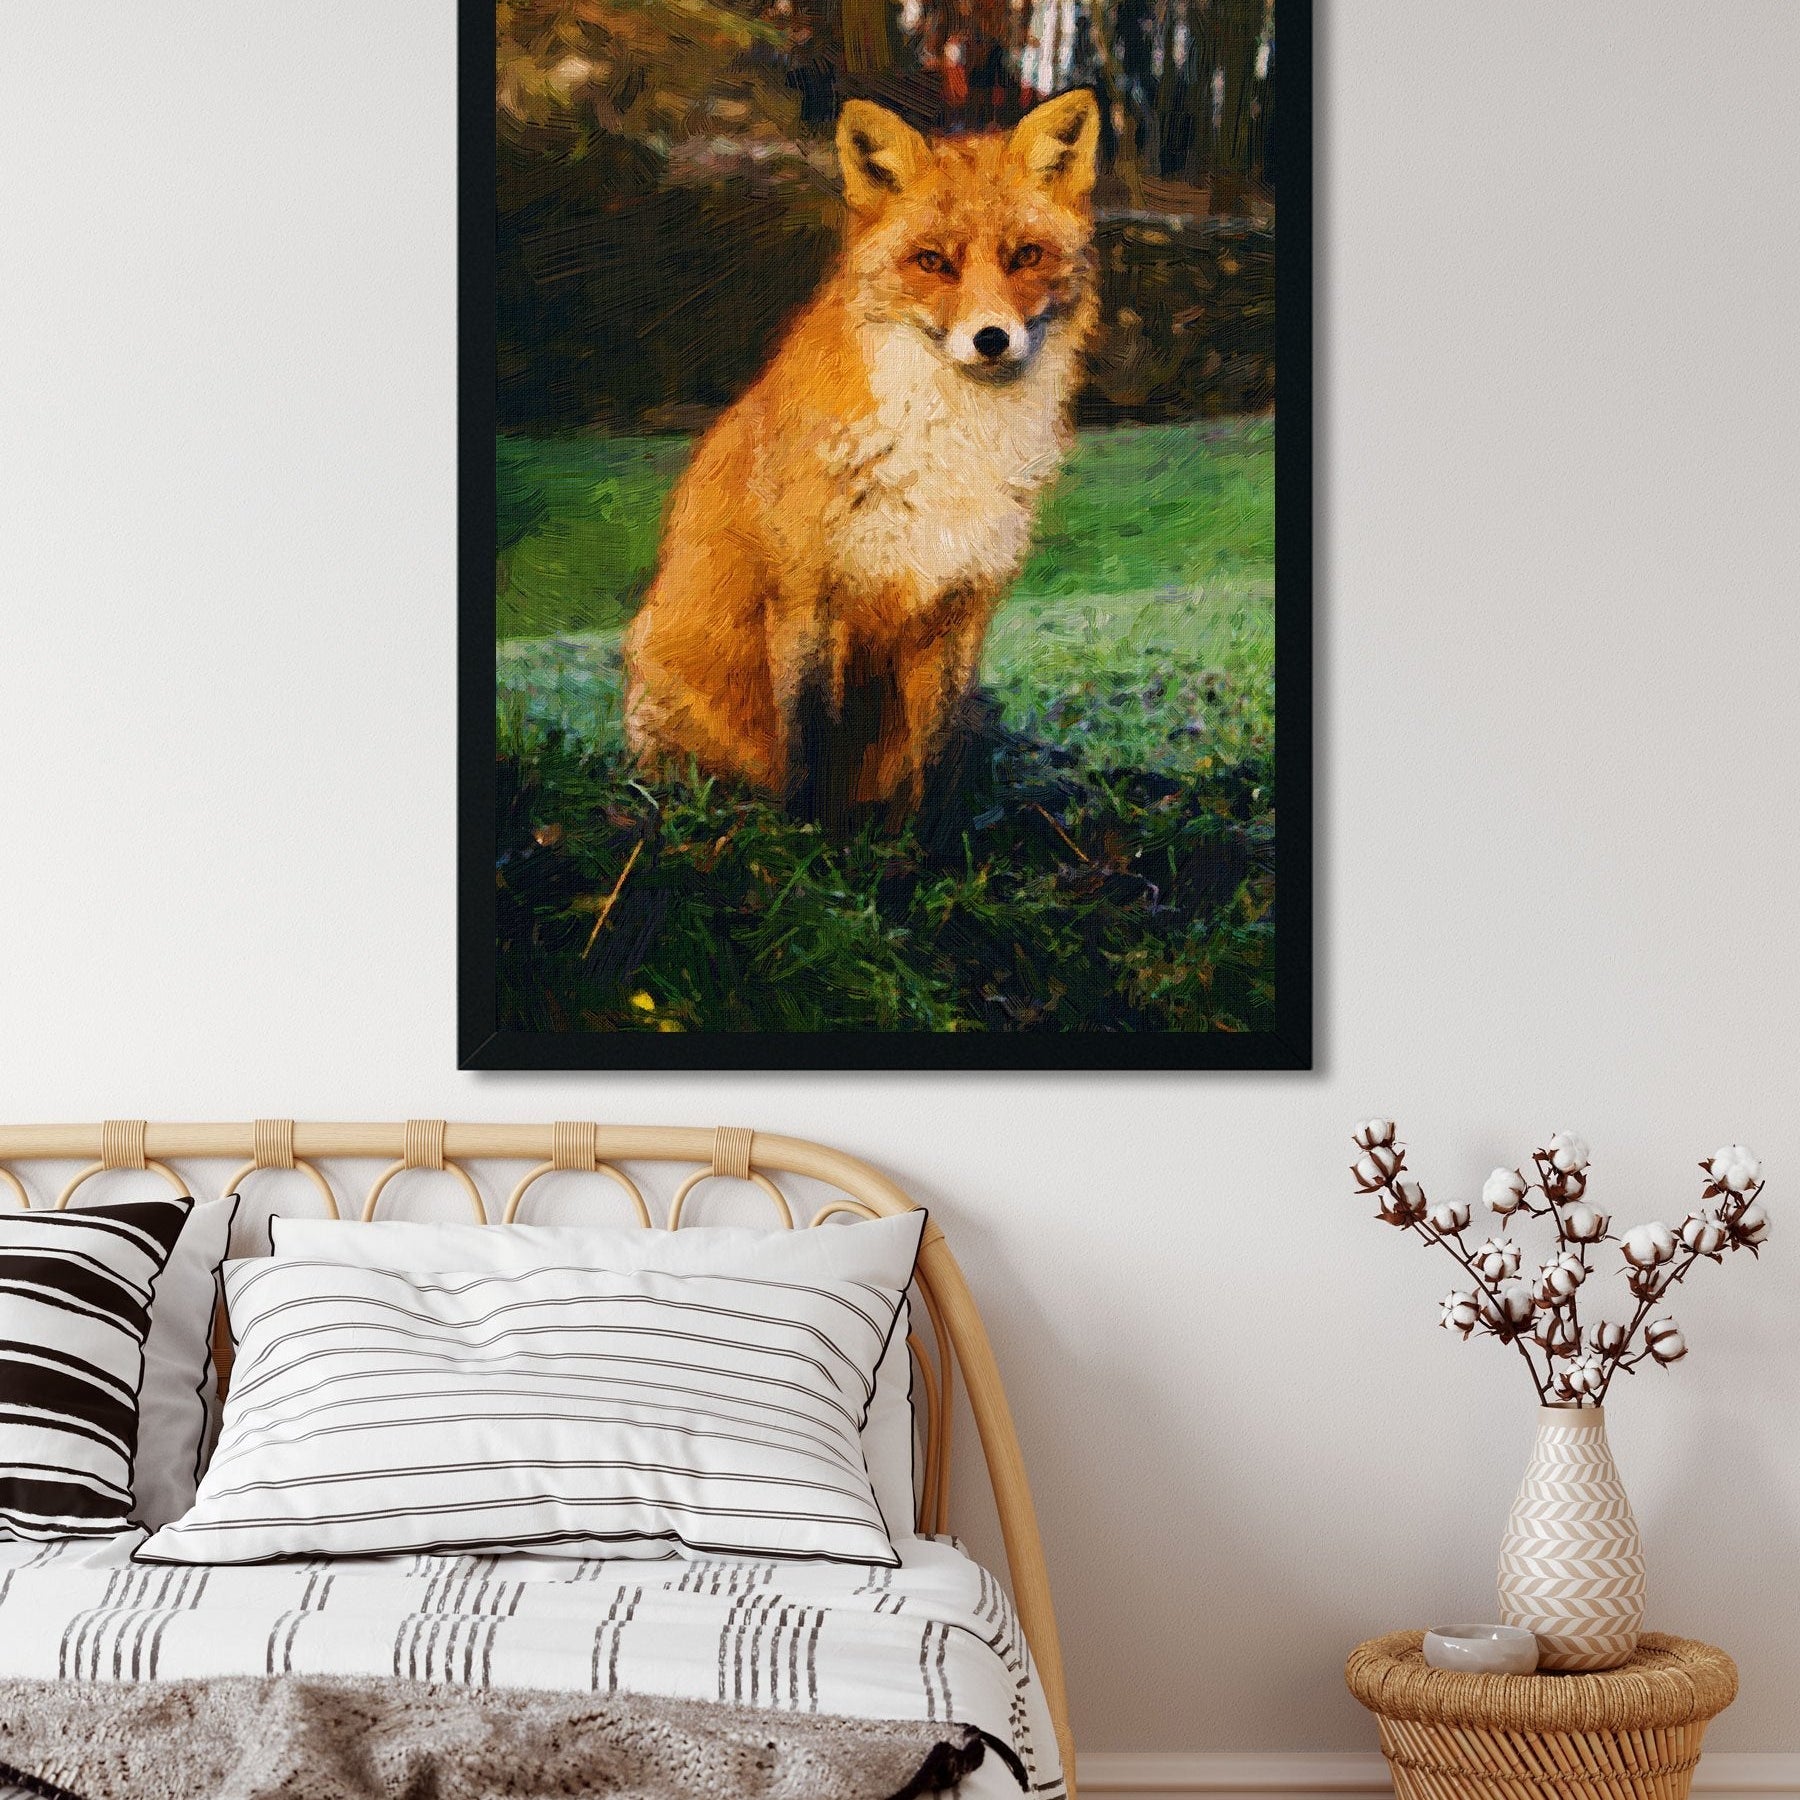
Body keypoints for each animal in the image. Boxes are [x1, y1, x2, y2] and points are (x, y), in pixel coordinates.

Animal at [621, 89, 1102, 820]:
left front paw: (934, 837)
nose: (991, 338)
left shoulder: (959, 605)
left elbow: (936, 755)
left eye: (1025, 255)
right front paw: (809, 835)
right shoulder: (807, 595)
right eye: (932, 261)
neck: (950, 447)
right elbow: (810, 739)